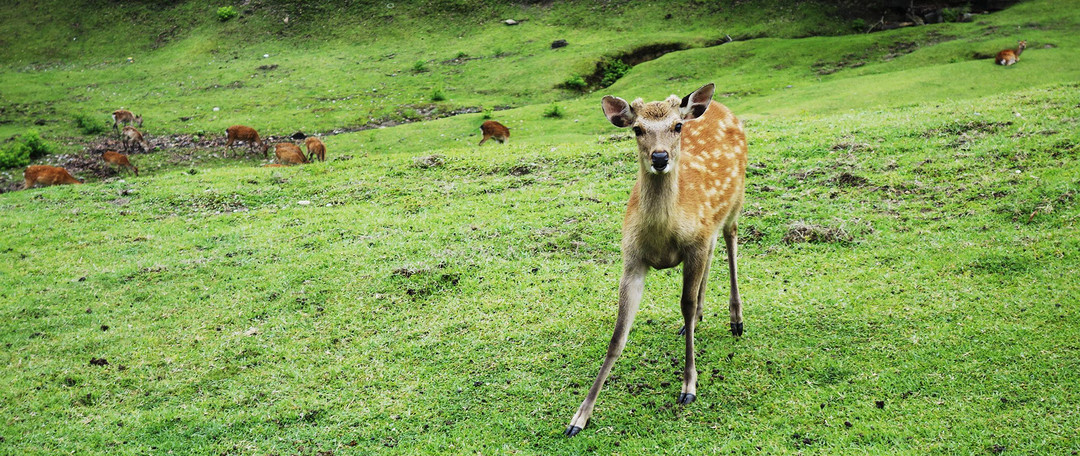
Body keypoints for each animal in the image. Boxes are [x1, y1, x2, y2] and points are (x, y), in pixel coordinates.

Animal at [565, 83, 751, 436]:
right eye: (637, 129)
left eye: (677, 126)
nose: (660, 157)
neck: (664, 233)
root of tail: (721, 107)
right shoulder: (633, 259)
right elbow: (617, 337)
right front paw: (579, 416)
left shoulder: (694, 244)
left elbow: (685, 305)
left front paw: (689, 386)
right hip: (709, 227)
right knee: (713, 251)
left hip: (736, 199)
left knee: (731, 238)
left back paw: (736, 319)